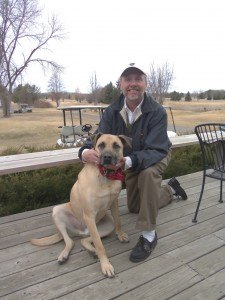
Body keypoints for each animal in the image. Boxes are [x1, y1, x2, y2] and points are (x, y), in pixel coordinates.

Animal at [30, 135, 131, 278]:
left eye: (116, 145)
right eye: (101, 145)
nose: (107, 157)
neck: (105, 175)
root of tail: (81, 231)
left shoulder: (114, 202)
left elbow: (118, 221)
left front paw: (120, 235)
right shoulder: (89, 215)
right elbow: (100, 245)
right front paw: (106, 265)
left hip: (105, 226)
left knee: (86, 240)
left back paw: (92, 250)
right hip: (58, 211)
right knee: (71, 241)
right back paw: (65, 255)